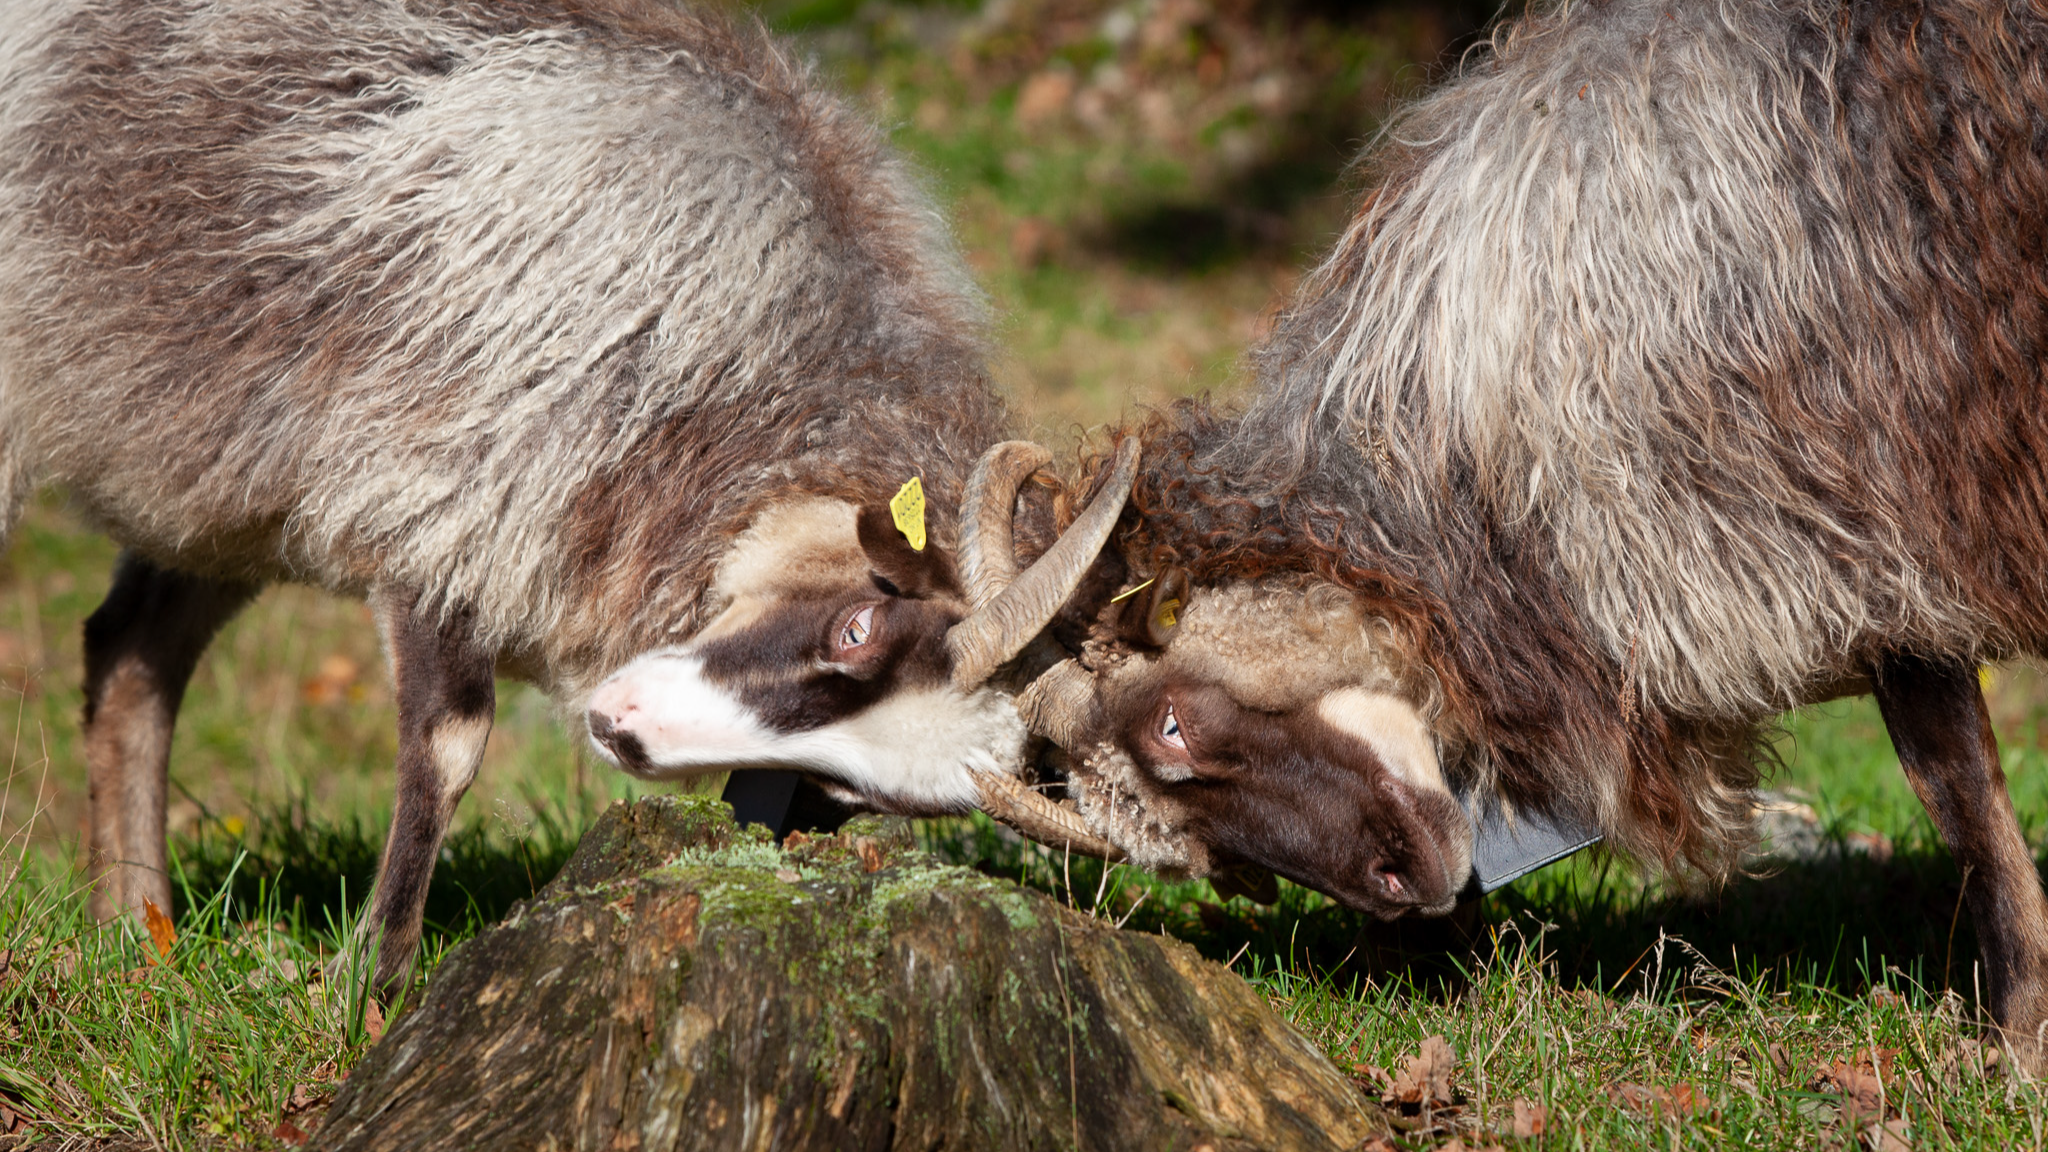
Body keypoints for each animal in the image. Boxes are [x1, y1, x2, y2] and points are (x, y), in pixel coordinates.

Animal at [0, 0, 1130, 999]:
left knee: (131, 652)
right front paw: (372, 990)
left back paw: (135, 937)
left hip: (231, 479)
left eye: (844, 792)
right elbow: (451, 744)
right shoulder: (450, 502)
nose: (626, 737)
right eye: (855, 628)